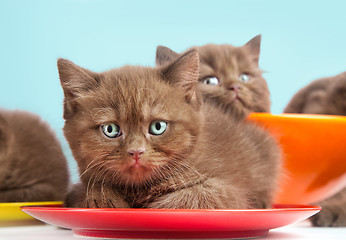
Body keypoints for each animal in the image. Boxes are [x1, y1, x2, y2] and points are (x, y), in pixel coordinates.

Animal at [58, 49, 282, 209]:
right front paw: (103, 198)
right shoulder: (76, 190)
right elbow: (91, 191)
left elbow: (193, 197)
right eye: (110, 129)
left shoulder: (228, 192)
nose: (136, 152)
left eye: (158, 127)